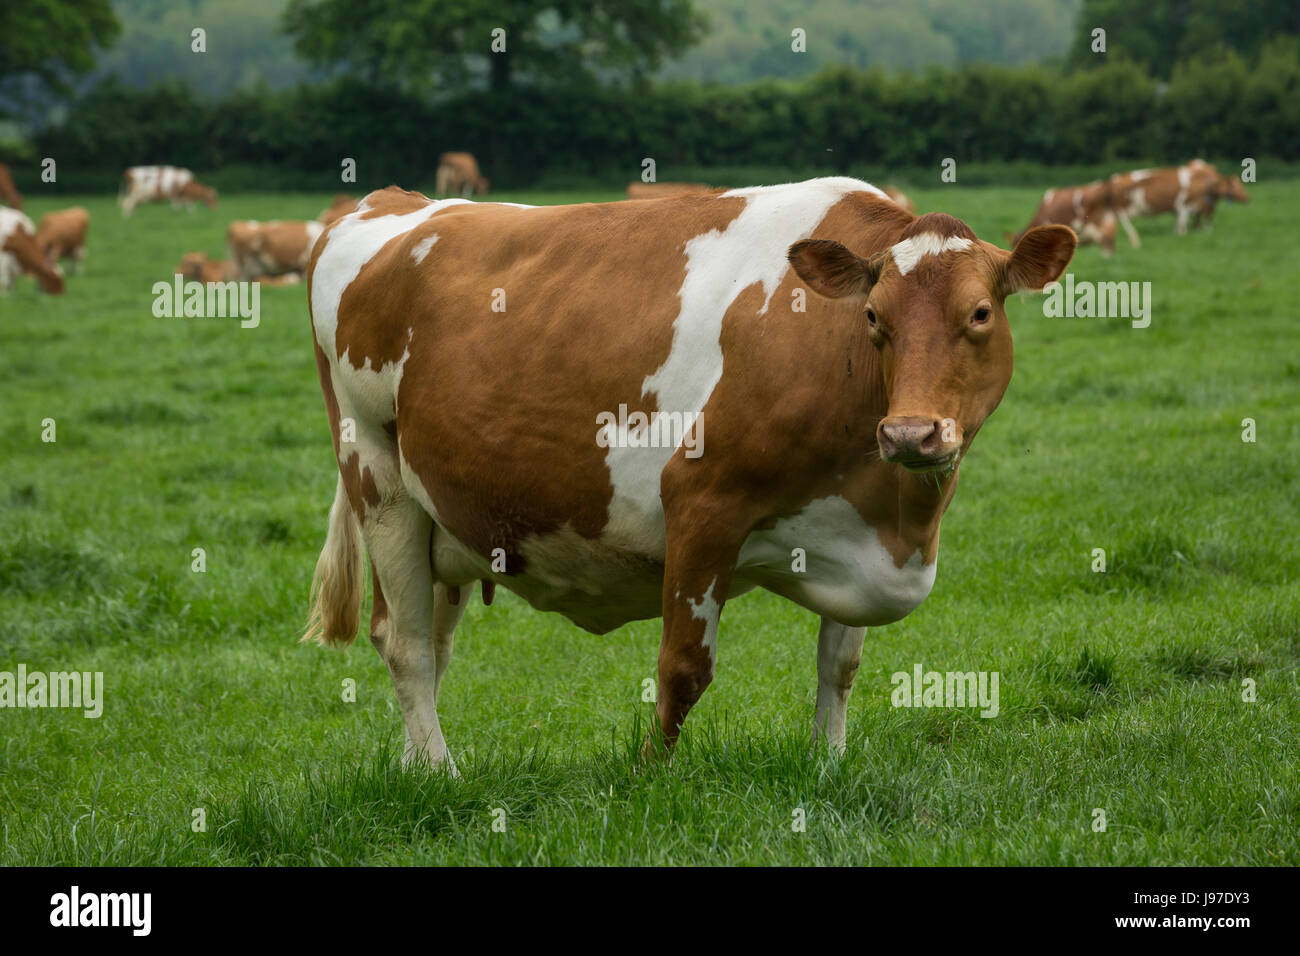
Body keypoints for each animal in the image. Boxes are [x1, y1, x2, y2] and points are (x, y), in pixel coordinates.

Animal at [302, 178, 1076, 771]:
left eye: (980, 313)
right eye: (872, 316)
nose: (910, 432)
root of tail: (387, 203)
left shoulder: (859, 530)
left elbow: (839, 666)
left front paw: (829, 766)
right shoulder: (703, 505)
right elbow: (682, 669)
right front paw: (652, 776)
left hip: (449, 514)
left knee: (431, 642)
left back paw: (416, 770)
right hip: (378, 480)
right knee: (404, 645)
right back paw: (444, 772)